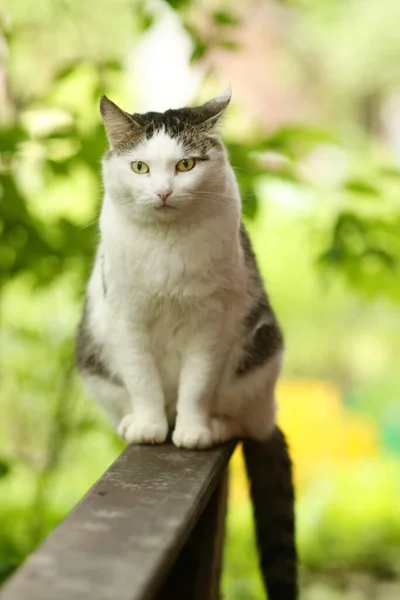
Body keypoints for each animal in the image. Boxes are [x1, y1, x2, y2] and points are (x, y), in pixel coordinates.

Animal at [76, 89, 296, 600]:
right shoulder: (127, 317)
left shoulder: (210, 324)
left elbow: (196, 385)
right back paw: (134, 422)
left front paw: (192, 431)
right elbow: (143, 380)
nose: (163, 192)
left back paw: (216, 426)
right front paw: (150, 427)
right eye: (140, 167)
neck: (166, 245)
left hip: (260, 353)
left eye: (186, 164)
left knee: (240, 416)